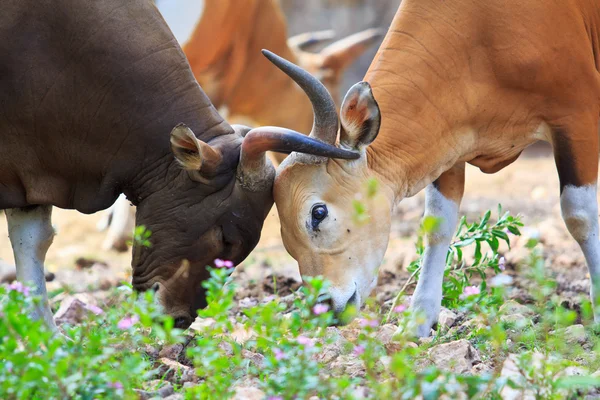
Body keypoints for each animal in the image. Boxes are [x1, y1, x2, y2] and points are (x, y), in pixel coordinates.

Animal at [244, 0, 600, 338]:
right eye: (284, 235)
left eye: (317, 213)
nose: (326, 308)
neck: (481, 32)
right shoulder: (448, 141)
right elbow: (437, 225)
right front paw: (418, 321)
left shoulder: (577, 117)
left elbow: (579, 216)